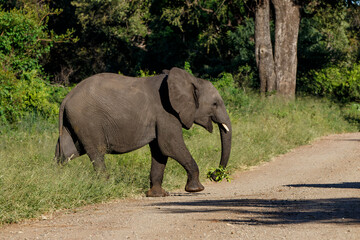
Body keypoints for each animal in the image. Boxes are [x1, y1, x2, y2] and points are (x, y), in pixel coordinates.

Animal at [54, 67, 232, 197]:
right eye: (215, 104)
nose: (214, 175)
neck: (190, 80)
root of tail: (66, 99)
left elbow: (160, 151)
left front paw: (158, 195)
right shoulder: (166, 112)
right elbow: (170, 146)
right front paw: (196, 189)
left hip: (74, 123)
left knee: (67, 153)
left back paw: (57, 177)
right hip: (87, 121)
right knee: (97, 152)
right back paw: (106, 186)